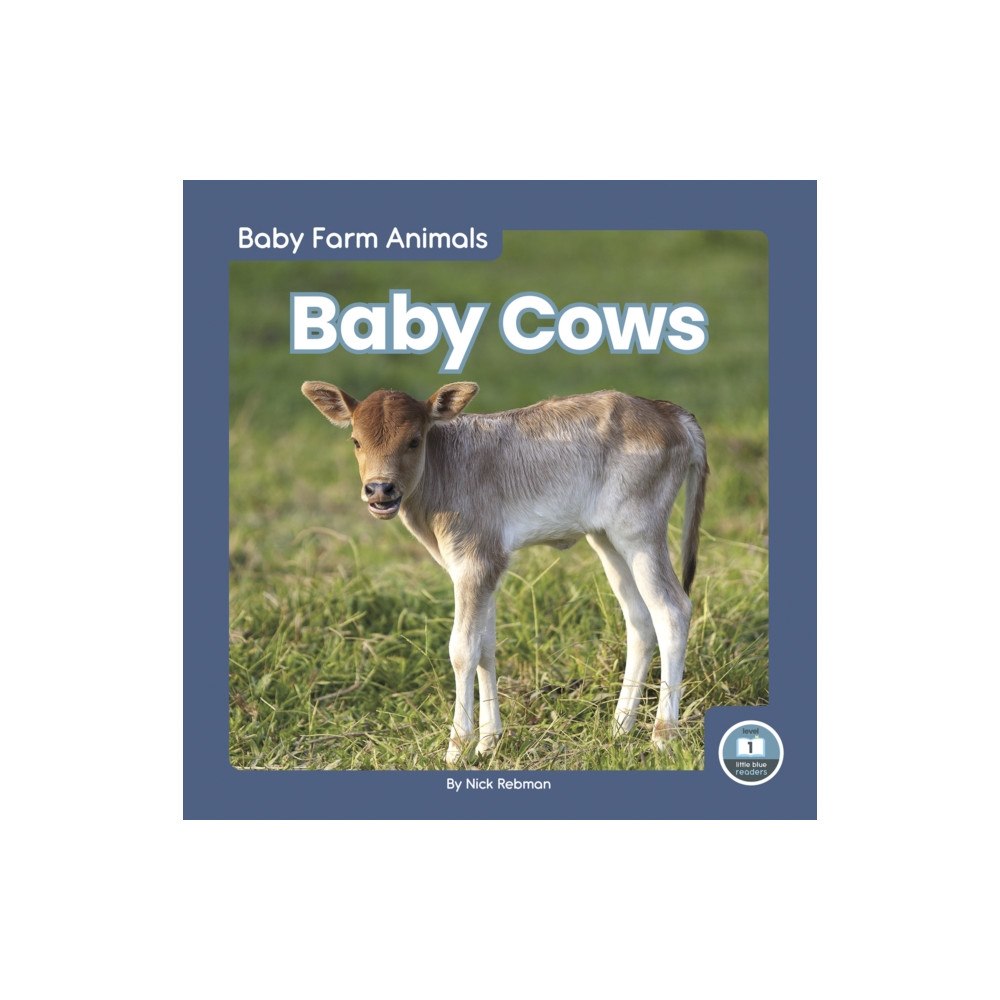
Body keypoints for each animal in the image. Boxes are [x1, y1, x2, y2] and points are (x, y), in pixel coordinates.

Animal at [302, 381, 708, 764]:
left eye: (414, 440)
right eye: (356, 441)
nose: (379, 490)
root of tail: (668, 412)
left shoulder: (474, 561)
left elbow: (463, 649)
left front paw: (457, 748)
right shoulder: (487, 566)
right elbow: (486, 646)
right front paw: (487, 743)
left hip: (640, 531)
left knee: (672, 610)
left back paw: (662, 737)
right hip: (607, 538)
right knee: (639, 618)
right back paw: (620, 728)